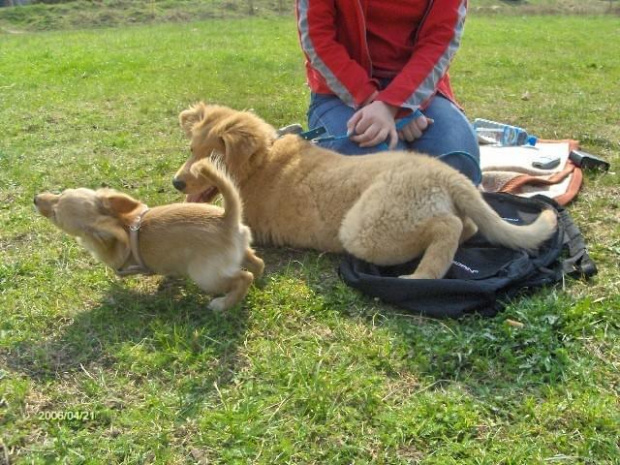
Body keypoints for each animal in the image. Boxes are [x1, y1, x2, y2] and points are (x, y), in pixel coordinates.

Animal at [35, 158, 264, 310]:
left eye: (55, 215)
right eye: (60, 193)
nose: (35, 198)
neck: (122, 222)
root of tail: (227, 219)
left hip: (205, 276)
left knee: (244, 277)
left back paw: (223, 304)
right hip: (241, 252)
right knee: (257, 264)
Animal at [171, 104, 556, 280]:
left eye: (211, 158)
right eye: (191, 150)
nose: (176, 183)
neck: (262, 159)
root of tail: (445, 174)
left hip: (368, 228)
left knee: (449, 227)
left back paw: (421, 275)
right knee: (469, 226)